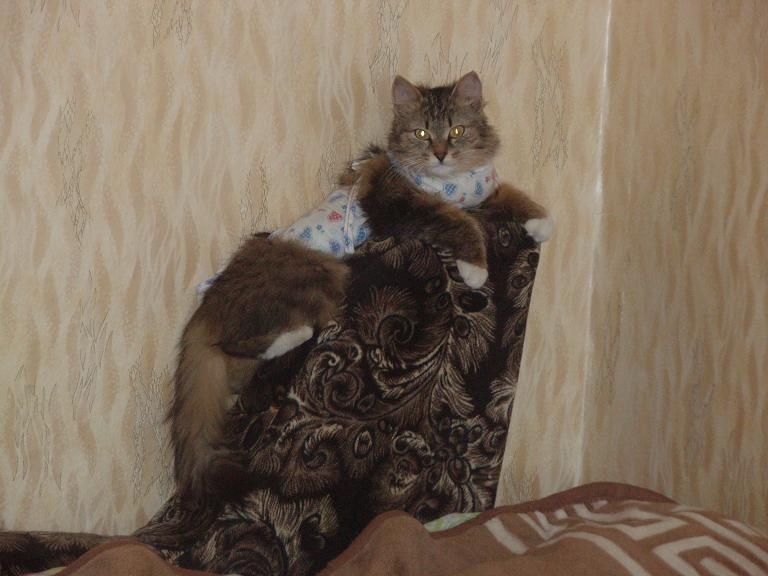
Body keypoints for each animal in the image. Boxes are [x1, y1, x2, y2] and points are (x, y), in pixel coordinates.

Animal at [170, 71, 551, 499]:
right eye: (421, 133)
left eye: (456, 130)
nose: (440, 154)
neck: (453, 181)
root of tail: (209, 305)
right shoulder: (399, 204)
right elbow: (457, 221)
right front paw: (475, 269)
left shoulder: (482, 193)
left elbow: (511, 193)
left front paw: (541, 222)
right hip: (319, 274)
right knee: (239, 347)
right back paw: (296, 335)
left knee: (236, 368)